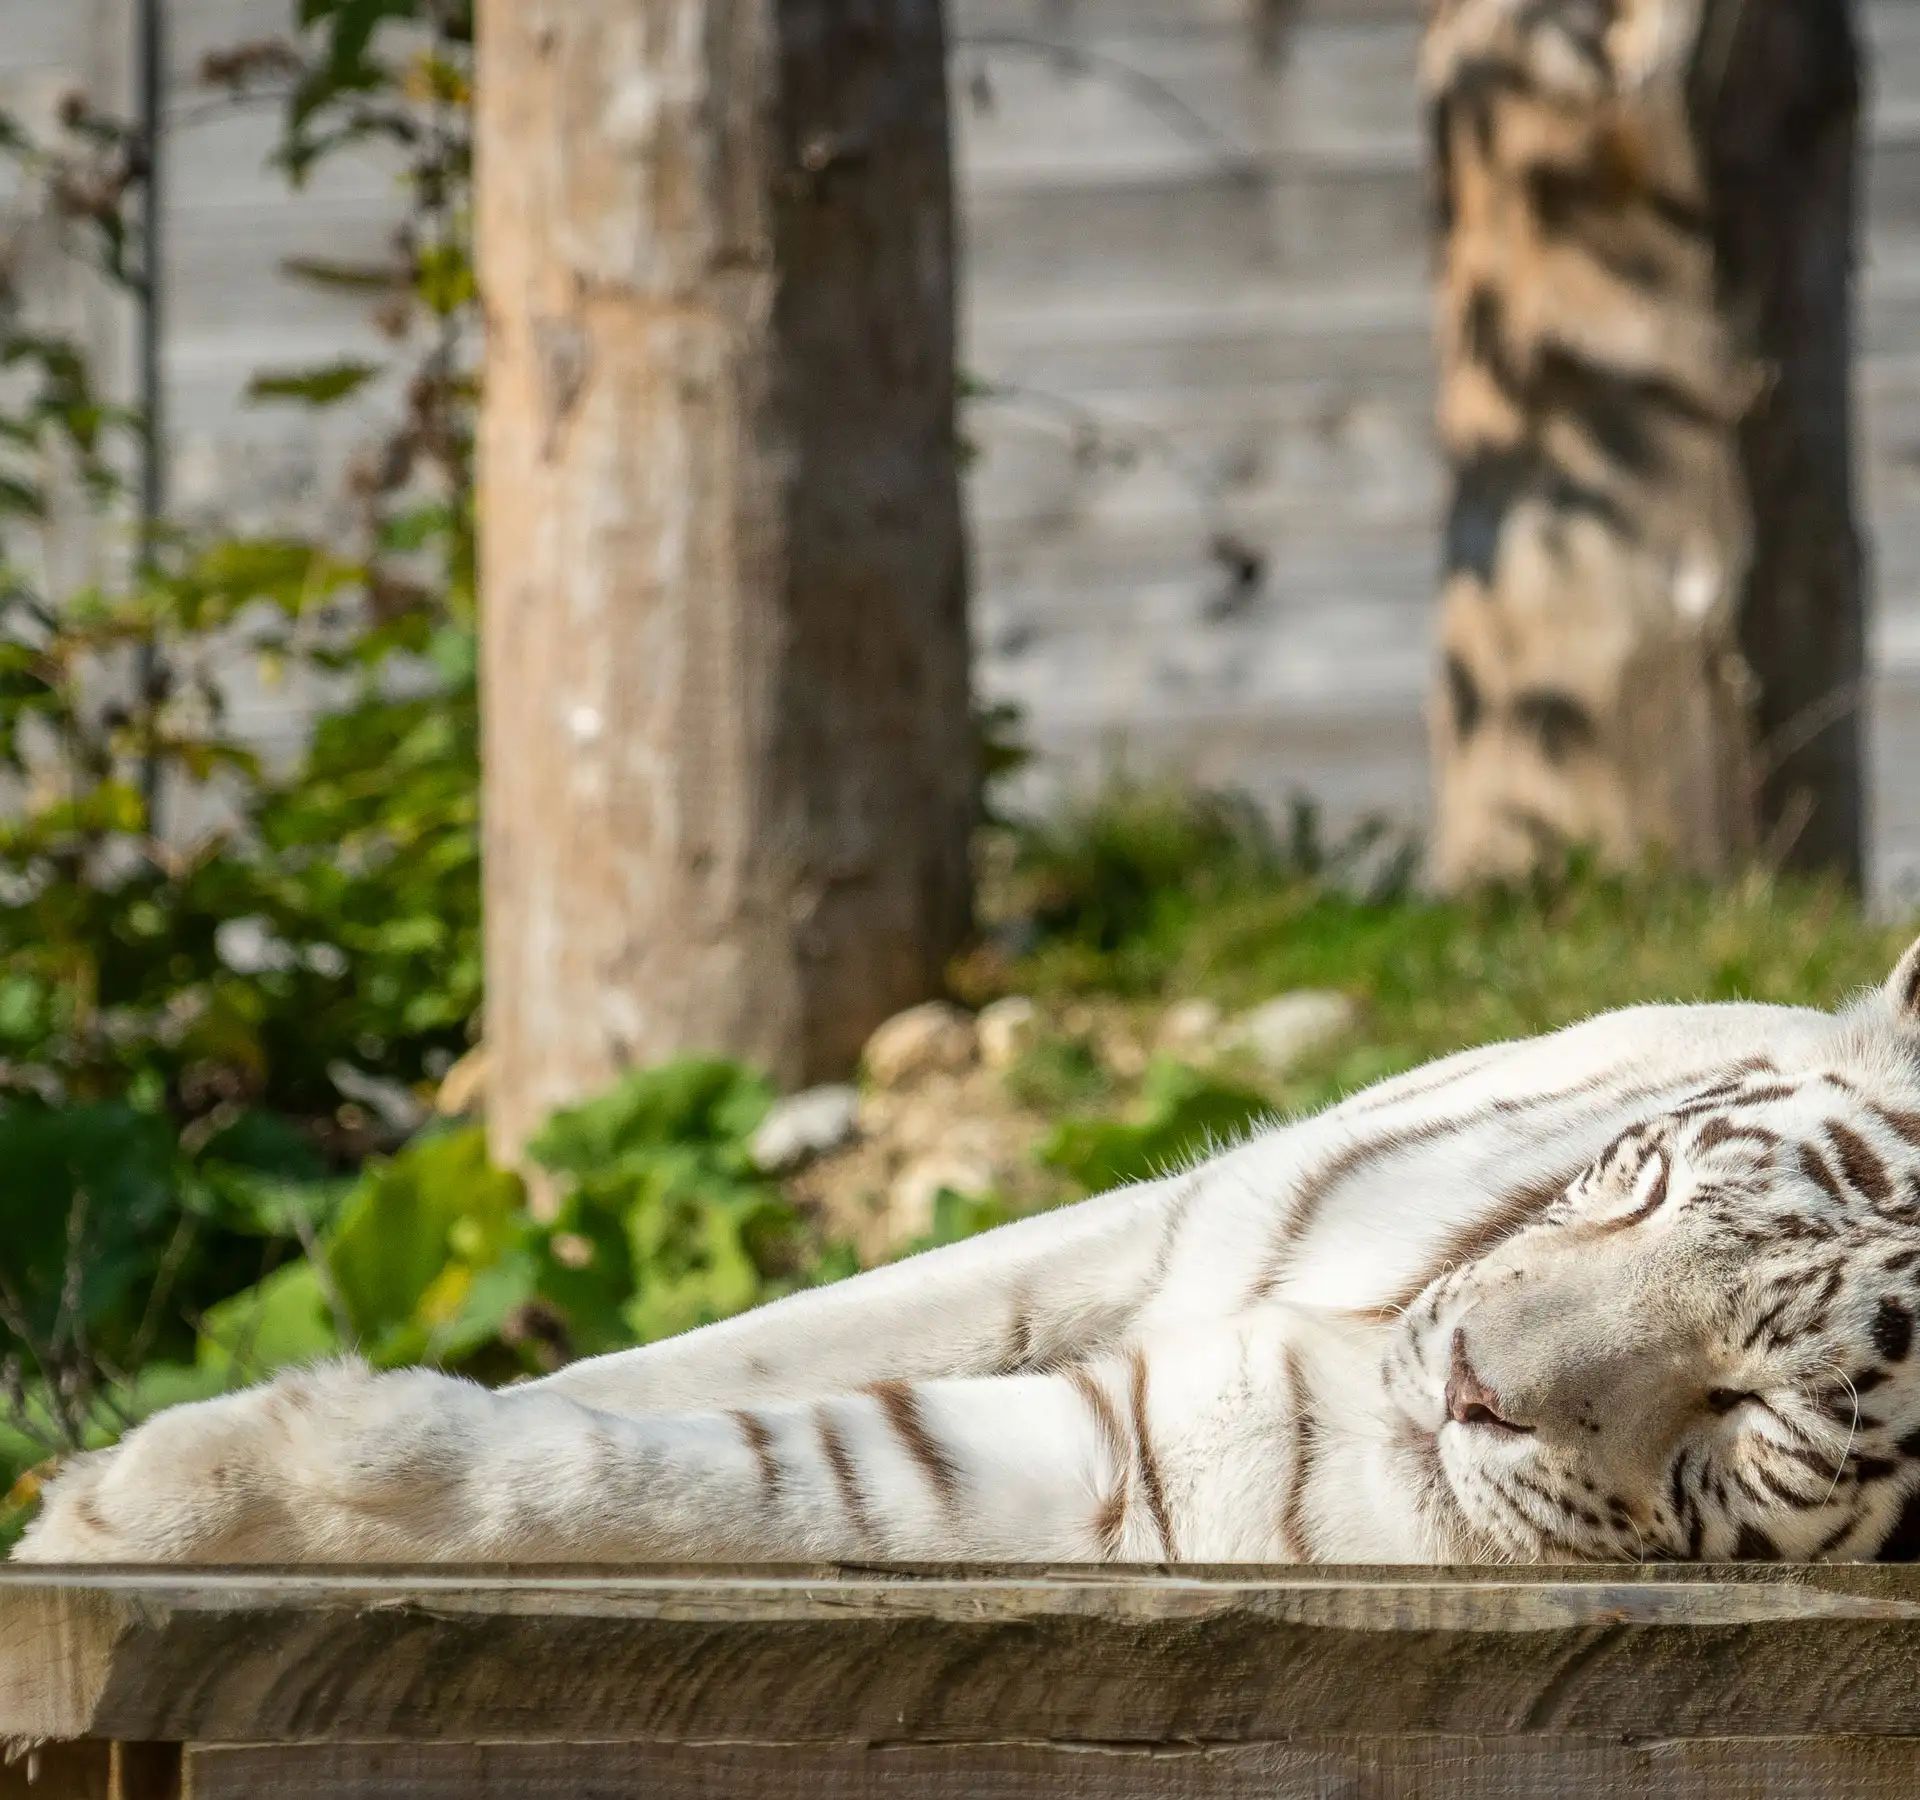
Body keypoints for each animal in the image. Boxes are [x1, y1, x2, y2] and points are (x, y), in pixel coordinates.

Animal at [21, 936, 1920, 1567]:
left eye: (1747, 1418)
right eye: (1647, 1188)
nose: (1465, 1378)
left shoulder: (1138, 1464)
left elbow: (741, 1472)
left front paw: (158, 1496)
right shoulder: (1148, 1226)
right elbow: (743, 1349)